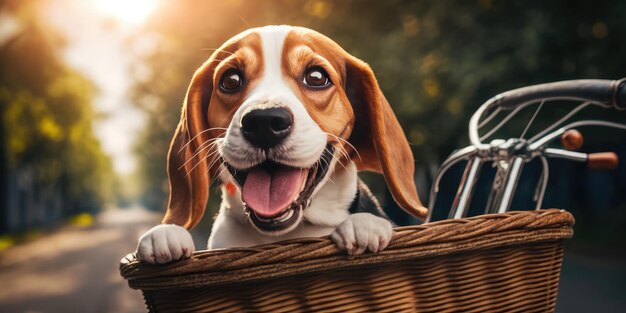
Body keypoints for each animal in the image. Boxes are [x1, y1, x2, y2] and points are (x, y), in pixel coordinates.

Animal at [138, 25, 424, 262]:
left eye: (316, 77)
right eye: (230, 80)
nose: (264, 122)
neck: (286, 234)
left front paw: (364, 224)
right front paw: (167, 233)